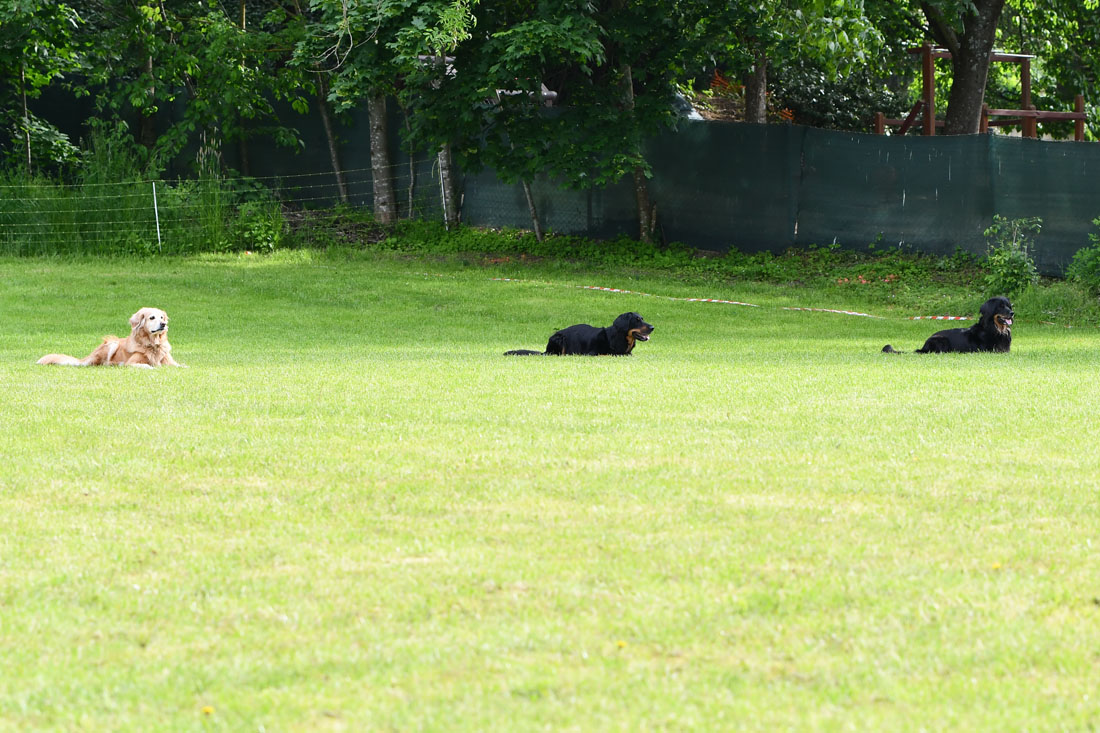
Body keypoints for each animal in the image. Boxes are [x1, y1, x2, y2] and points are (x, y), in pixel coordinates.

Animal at [884, 297, 1012, 354]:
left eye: (1009, 306)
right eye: (1000, 306)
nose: (1012, 313)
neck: (995, 329)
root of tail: (923, 346)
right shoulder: (988, 350)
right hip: (942, 340)